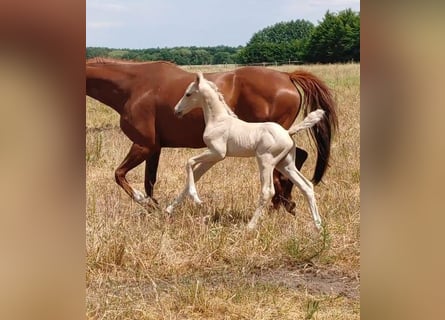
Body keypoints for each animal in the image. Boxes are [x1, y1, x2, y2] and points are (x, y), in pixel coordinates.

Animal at [86, 58, 336, 212]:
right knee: (298, 157)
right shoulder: (154, 148)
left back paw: (280, 202)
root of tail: (287, 76)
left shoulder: (143, 145)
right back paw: (285, 202)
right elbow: (149, 181)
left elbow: (119, 174)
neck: (134, 86)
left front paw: (143, 202)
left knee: (291, 162)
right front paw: (154, 207)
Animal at [166, 72, 326, 230]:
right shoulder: (213, 157)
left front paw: (196, 199)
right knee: (306, 186)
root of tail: (287, 132)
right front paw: (169, 209)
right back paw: (318, 226)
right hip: (286, 164)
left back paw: (250, 226)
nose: (176, 110)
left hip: (266, 161)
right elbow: (194, 174)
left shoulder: (217, 153)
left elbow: (189, 162)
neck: (218, 120)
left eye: (188, 94)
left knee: (267, 191)